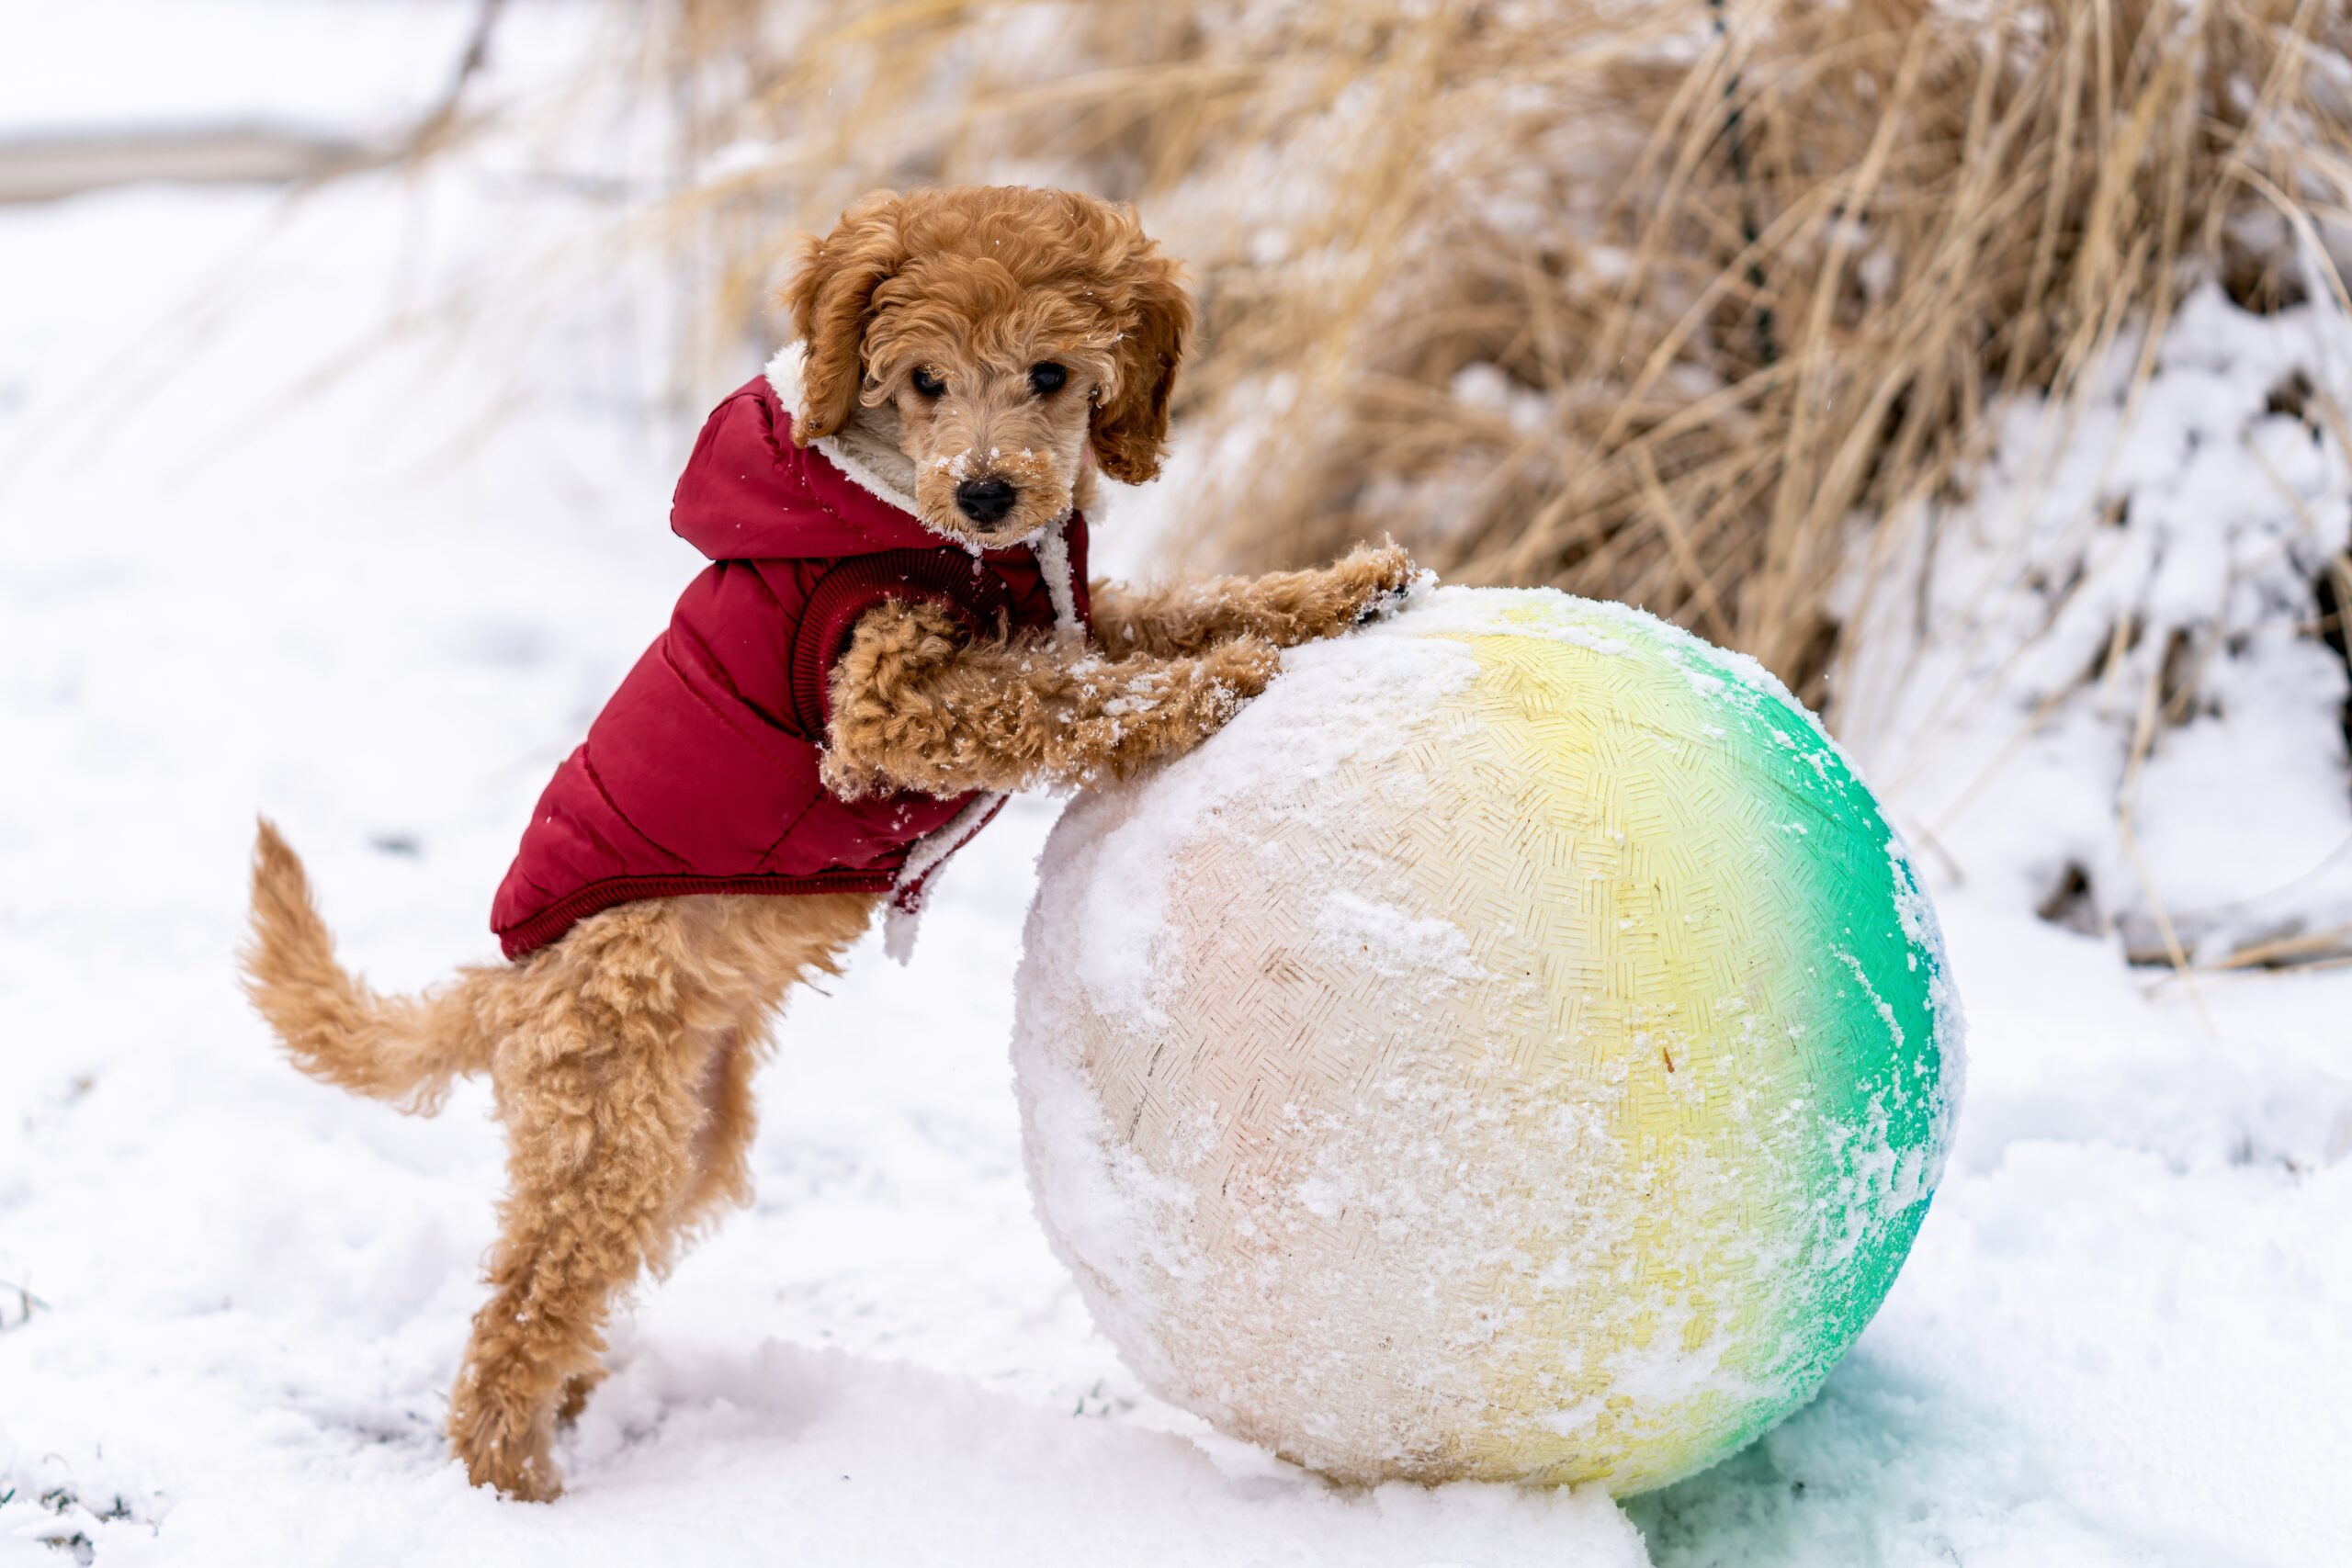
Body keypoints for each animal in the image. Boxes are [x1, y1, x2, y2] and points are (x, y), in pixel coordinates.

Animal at [238, 190, 1411, 1504]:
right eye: (924, 380)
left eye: (1051, 374)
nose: (989, 494)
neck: (915, 515)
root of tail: (506, 993)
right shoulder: (880, 709)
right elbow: (1059, 697)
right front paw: (1217, 684)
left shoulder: (1072, 613)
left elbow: (1171, 610)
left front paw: (1339, 592)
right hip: (610, 1130)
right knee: (522, 1309)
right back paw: (516, 1481)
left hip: (682, 1141)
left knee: (569, 1288)